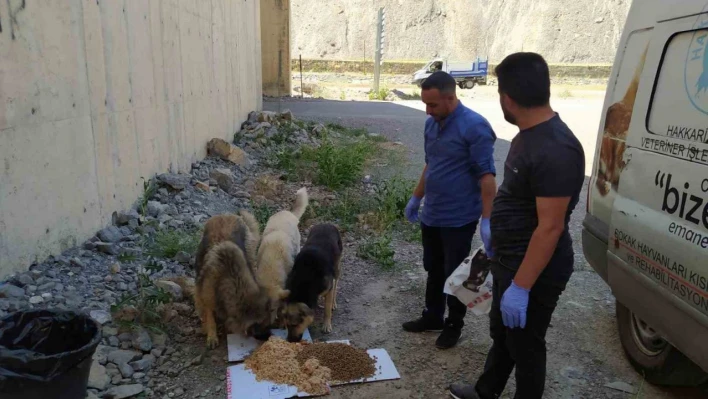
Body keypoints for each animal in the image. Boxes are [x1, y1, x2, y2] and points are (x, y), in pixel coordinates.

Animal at [194, 211, 274, 348]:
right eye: (263, 328)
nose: (270, 337)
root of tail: (226, 214)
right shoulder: (205, 293)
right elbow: (209, 314)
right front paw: (211, 334)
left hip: (250, 250)